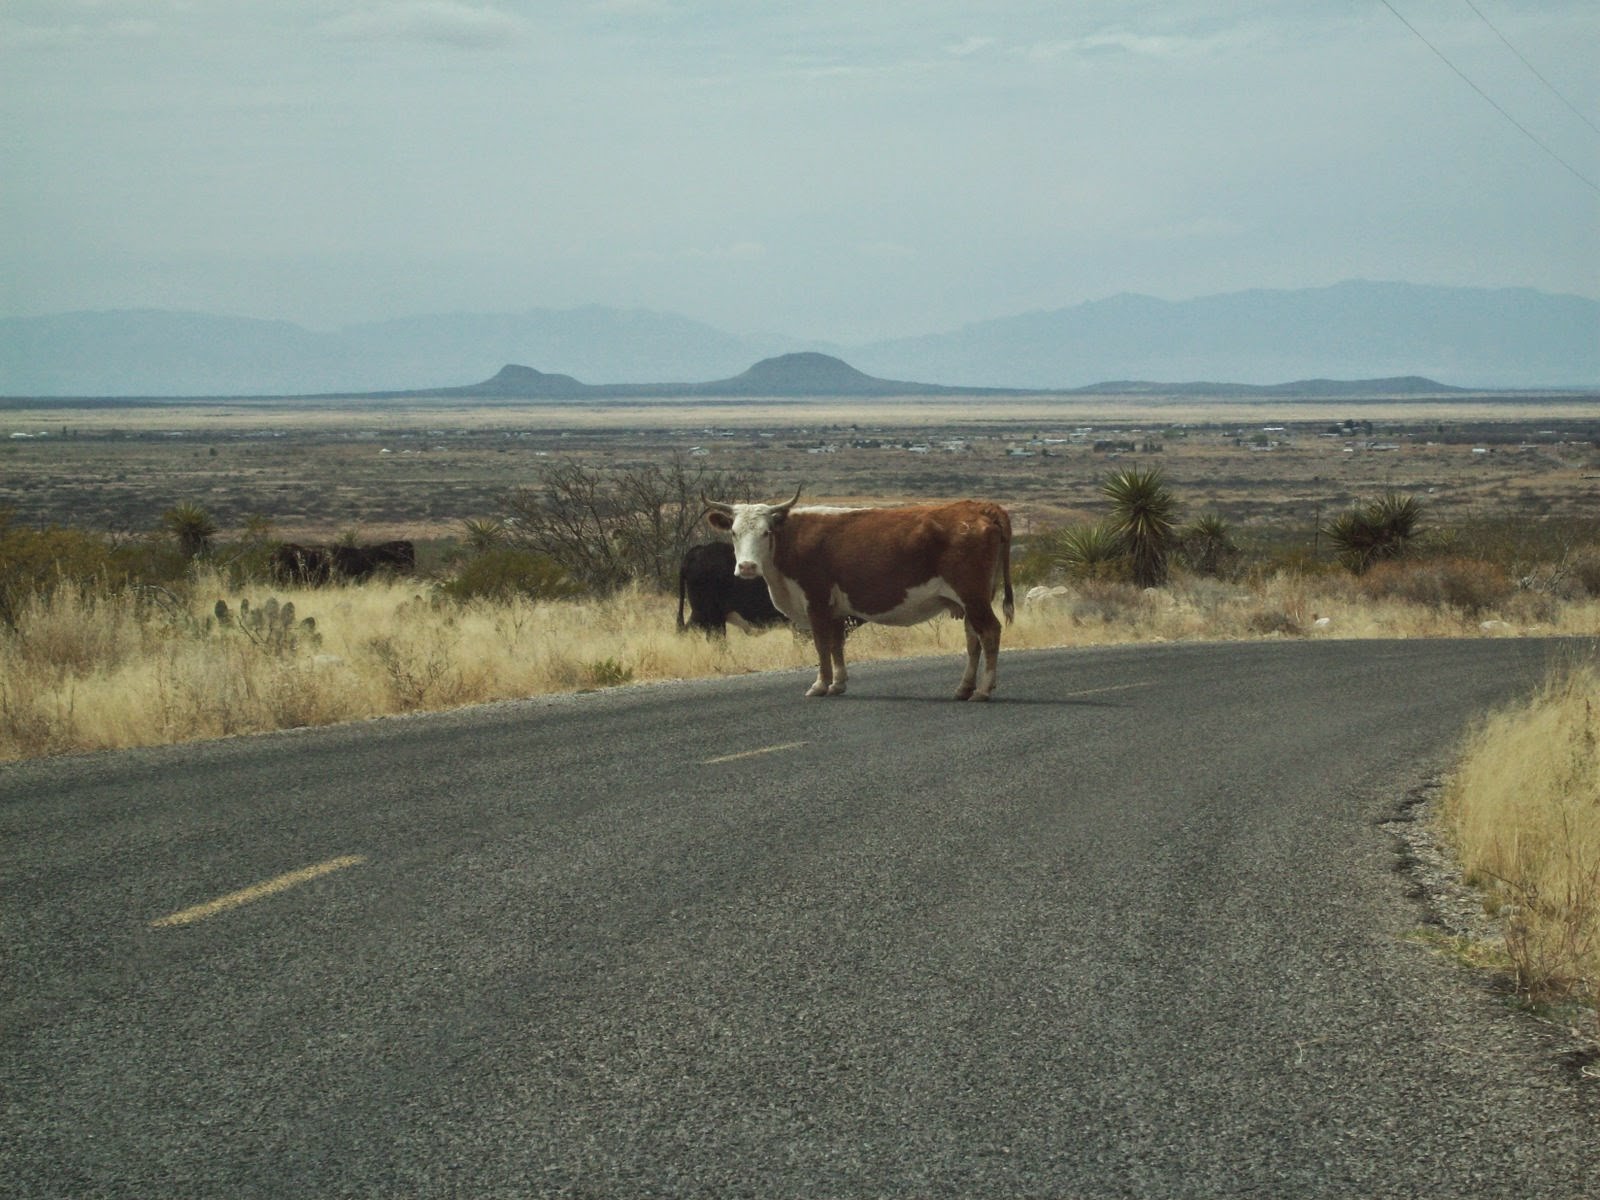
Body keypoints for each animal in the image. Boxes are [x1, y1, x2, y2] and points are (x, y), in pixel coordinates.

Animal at [704, 489, 1014, 700]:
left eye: (766, 532)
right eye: (733, 532)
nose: (747, 566)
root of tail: (981, 508)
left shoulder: (816, 602)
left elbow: (821, 645)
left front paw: (820, 685)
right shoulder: (836, 609)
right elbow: (837, 644)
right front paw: (838, 683)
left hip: (972, 595)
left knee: (989, 632)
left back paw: (983, 690)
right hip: (973, 598)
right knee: (973, 639)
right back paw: (964, 688)